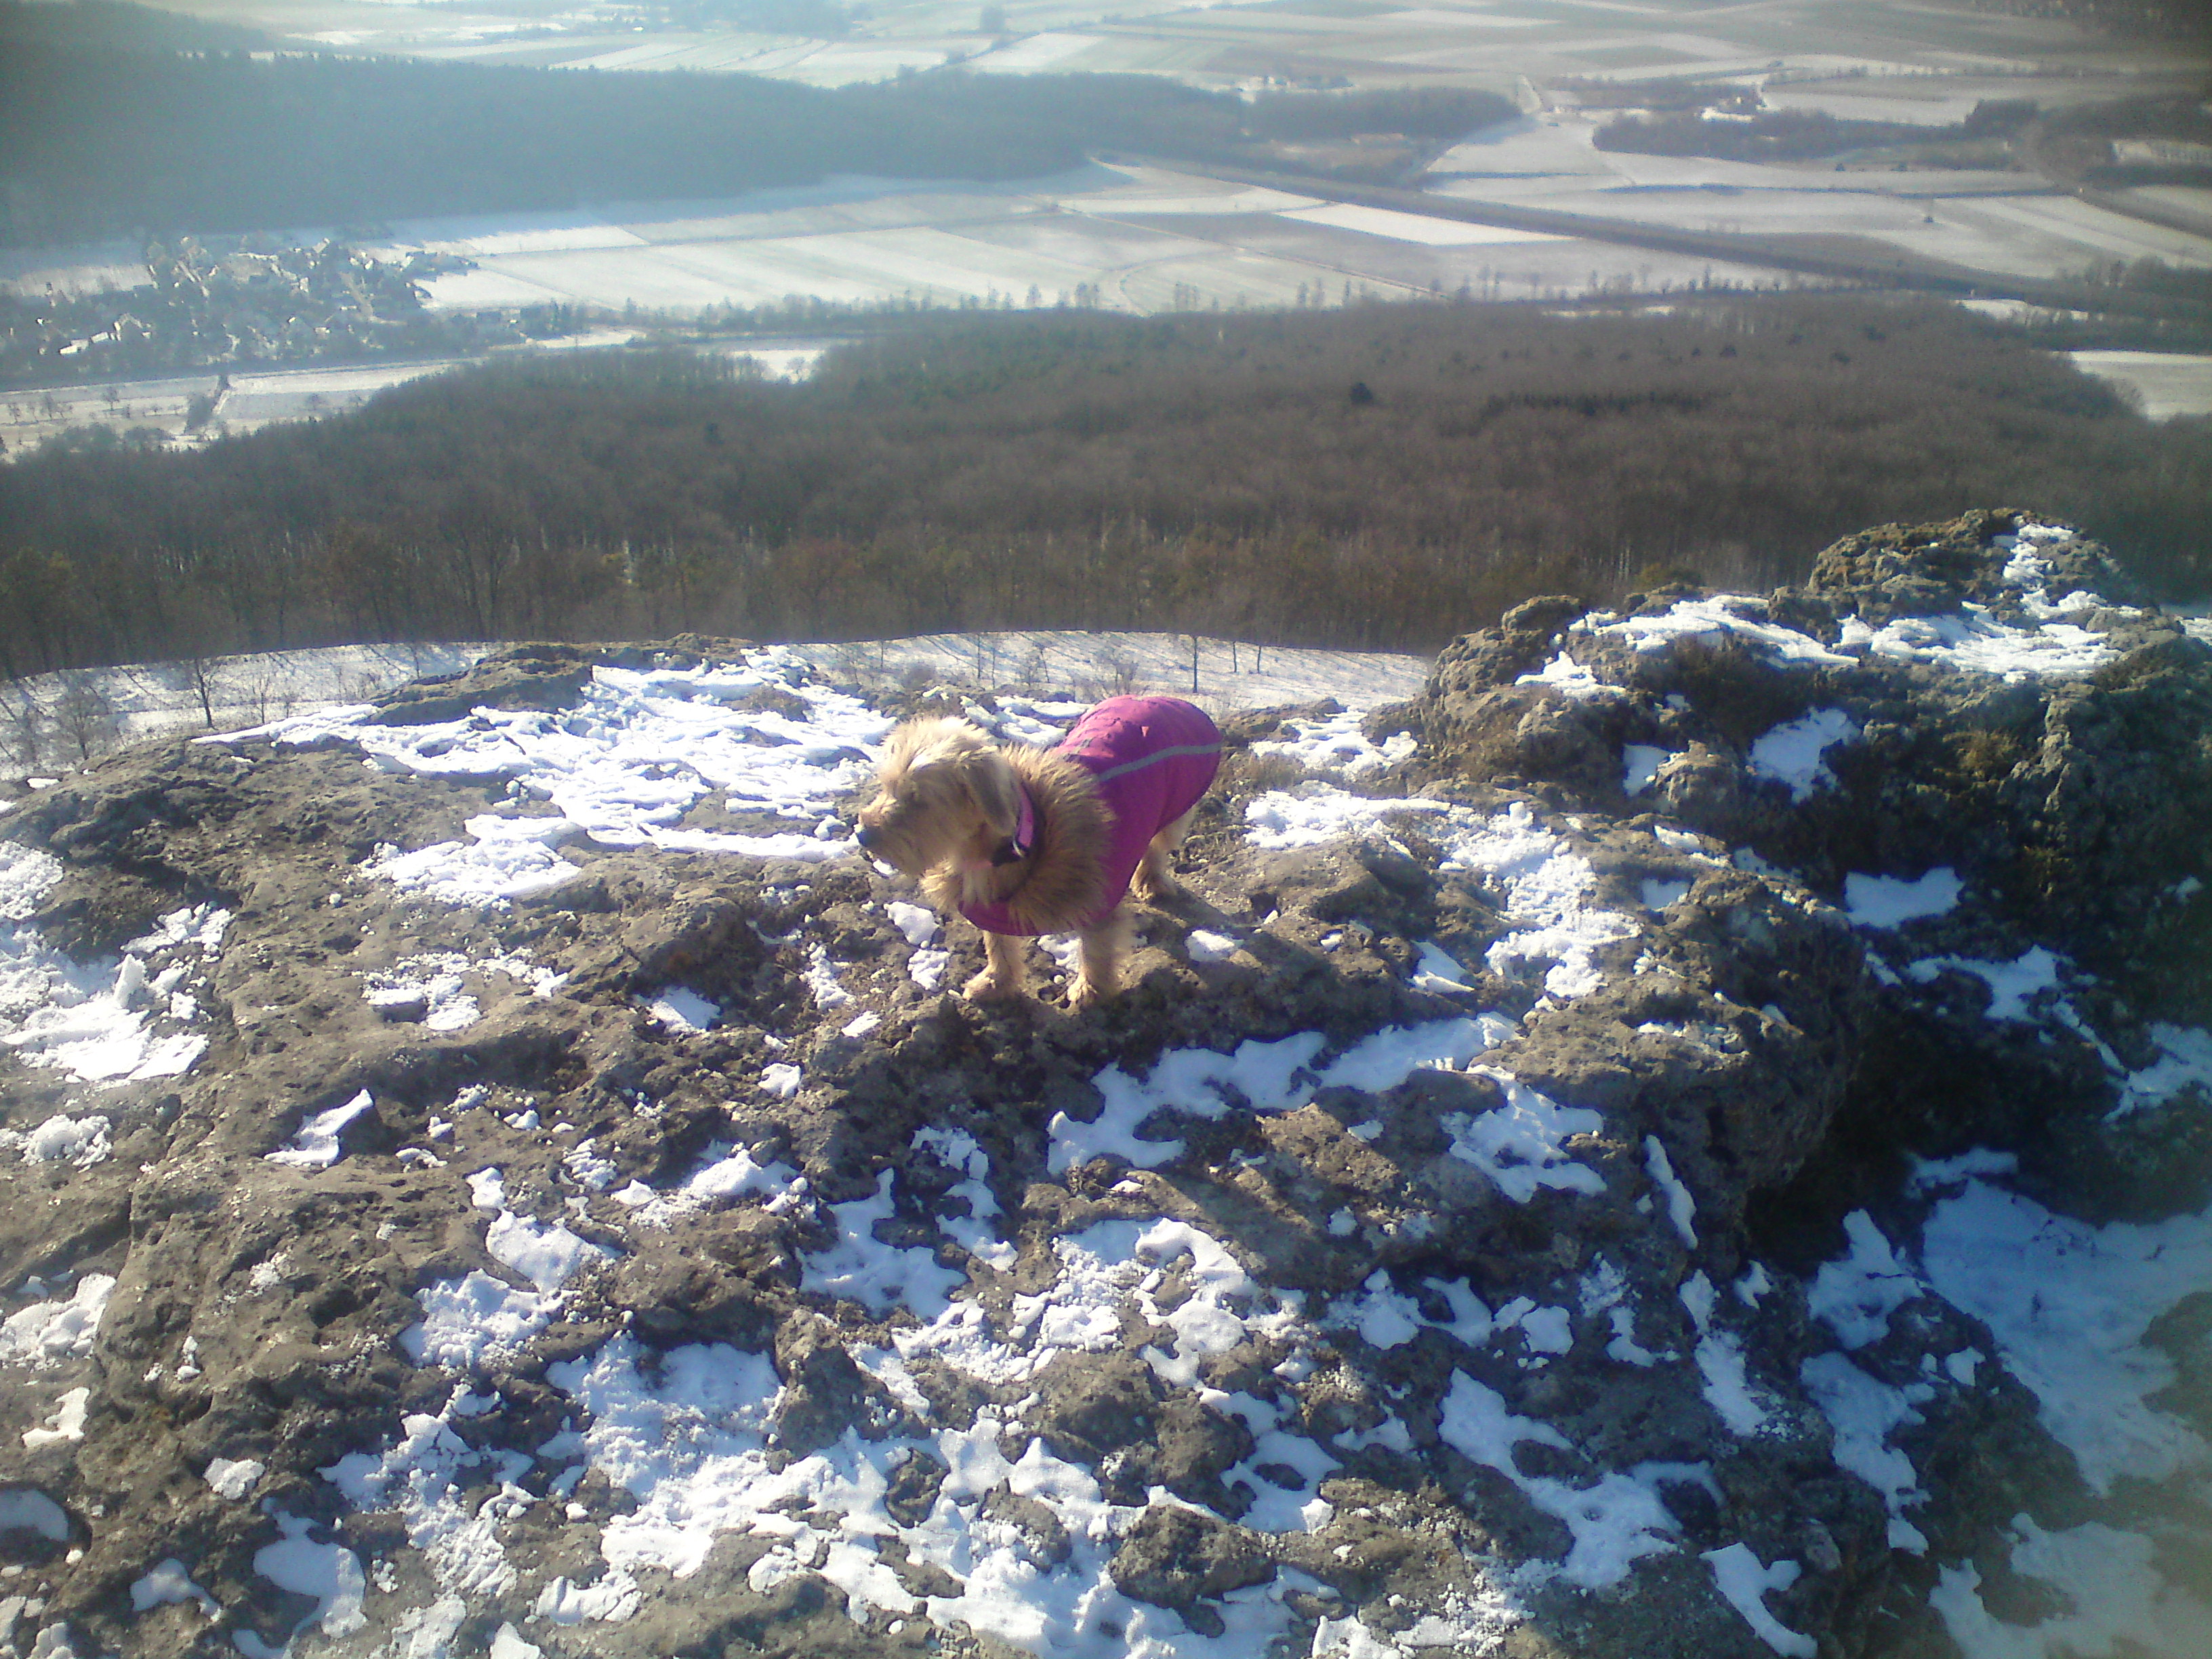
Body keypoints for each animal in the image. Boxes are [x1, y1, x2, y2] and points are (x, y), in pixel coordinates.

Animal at [849, 694, 1229, 1008]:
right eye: (886, 786)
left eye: (918, 799)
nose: (862, 835)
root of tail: (1165, 697)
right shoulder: (992, 907)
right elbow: (998, 945)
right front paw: (996, 983)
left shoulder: (1097, 903)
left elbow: (1097, 949)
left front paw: (1091, 992)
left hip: (1175, 810)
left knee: (1157, 847)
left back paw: (1150, 880)